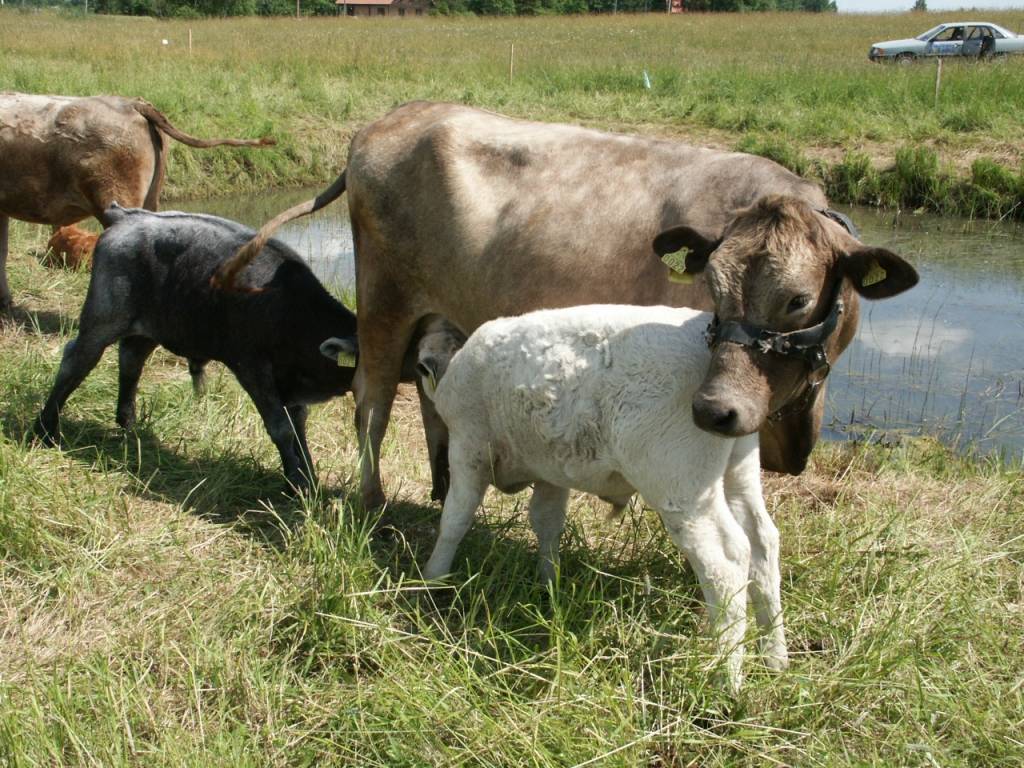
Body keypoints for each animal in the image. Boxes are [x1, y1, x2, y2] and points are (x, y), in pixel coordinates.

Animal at [216, 103, 921, 512]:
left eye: (799, 299)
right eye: (713, 295)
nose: (719, 410)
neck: (796, 419)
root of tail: (391, 120)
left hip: (439, 315)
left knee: (429, 401)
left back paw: (443, 492)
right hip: (384, 302)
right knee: (373, 400)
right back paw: (372, 504)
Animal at [419, 305, 786, 692]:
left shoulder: (468, 446)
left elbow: (455, 518)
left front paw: (432, 577)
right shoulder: (550, 469)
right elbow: (547, 522)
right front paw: (549, 582)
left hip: (679, 480)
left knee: (726, 560)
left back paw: (726, 677)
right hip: (738, 468)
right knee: (762, 541)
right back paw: (774, 655)